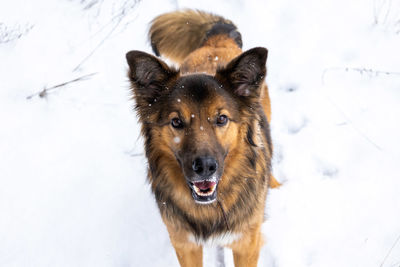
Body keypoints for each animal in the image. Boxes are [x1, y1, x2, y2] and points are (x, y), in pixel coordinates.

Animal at [126, 8, 280, 267]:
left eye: (221, 119)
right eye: (176, 122)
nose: (205, 167)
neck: (210, 208)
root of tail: (216, 41)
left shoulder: (247, 244)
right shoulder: (185, 245)